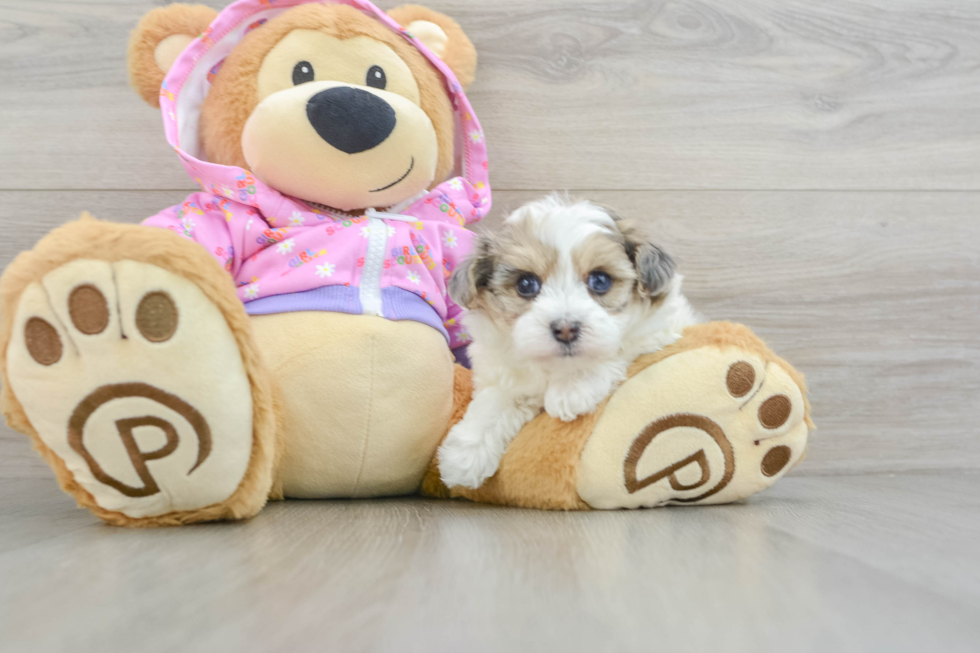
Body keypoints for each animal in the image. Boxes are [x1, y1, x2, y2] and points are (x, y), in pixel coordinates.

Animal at [440, 194, 700, 488]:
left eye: (600, 280)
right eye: (526, 284)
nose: (565, 329)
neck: (557, 366)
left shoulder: (660, 328)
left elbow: (620, 346)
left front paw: (573, 388)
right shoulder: (503, 371)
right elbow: (492, 402)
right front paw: (464, 456)